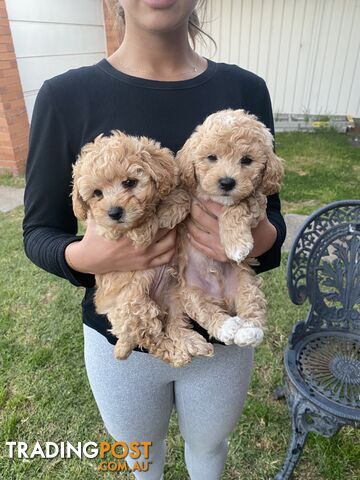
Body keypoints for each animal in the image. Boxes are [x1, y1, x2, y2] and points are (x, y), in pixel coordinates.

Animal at [71, 129, 212, 366]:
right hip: (135, 306)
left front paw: (171, 208)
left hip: (175, 296)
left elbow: (180, 195)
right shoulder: (106, 230)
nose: (114, 212)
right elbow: (138, 225)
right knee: (150, 337)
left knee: (175, 324)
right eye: (97, 193)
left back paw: (193, 343)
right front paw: (146, 227)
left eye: (129, 182)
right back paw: (177, 355)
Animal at [175, 109, 284, 348]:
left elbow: (236, 207)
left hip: (245, 281)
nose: (227, 182)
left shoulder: (255, 200)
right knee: (206, 311)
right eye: (211, 157)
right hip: (190, 291)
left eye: (247, 160)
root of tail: (222, 296)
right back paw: (227, 327)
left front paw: (236, 245)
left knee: (252, 307)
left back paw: (248, 332)